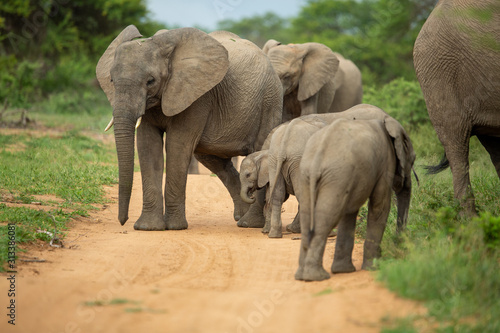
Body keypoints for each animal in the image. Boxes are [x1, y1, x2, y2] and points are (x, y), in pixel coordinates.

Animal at [97, 26, 284, 230]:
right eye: (112, 80)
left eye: (151, 81)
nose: (123, 221)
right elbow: (148, 146)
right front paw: (148, 227)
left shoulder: (197, 96)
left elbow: (177, 145)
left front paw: (174, 227)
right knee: (212, 159)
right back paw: (241, 216)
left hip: (270, 101)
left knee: (260, 152)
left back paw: (250, 223)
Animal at [294, 116, 416, 280]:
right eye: (413, 160)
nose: (399, 245)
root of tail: (318, 157)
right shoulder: (386, 162)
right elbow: (380, 207)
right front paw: (374, 267)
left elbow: (349, 212)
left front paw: (344, 271)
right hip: (336, 176)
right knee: (326, 218)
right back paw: (316, 277)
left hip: (309, 175)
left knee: (308, 218)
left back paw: (302, 276)